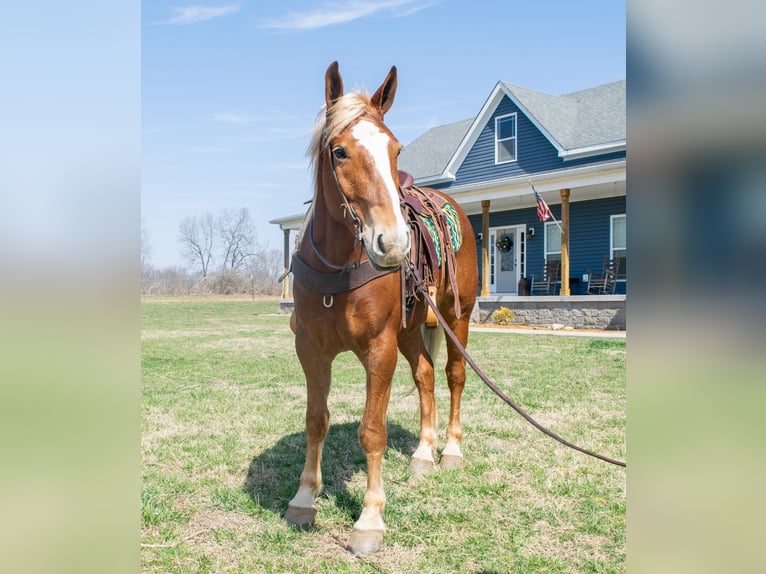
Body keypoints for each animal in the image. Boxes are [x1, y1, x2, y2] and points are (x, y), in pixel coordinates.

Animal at [284, 61, 478, 555]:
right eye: (339, 152)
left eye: (395, 149)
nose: (392, 243)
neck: (337, 265)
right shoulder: (310, 350)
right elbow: (316, 421)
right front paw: (304, 498)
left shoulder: (379, 349)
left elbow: (372, 431)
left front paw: (369, 519)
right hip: (411, 331)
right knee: (426, 375)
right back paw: (423, 453)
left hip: (457, 317)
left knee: (453, 376)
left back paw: (450, 450)